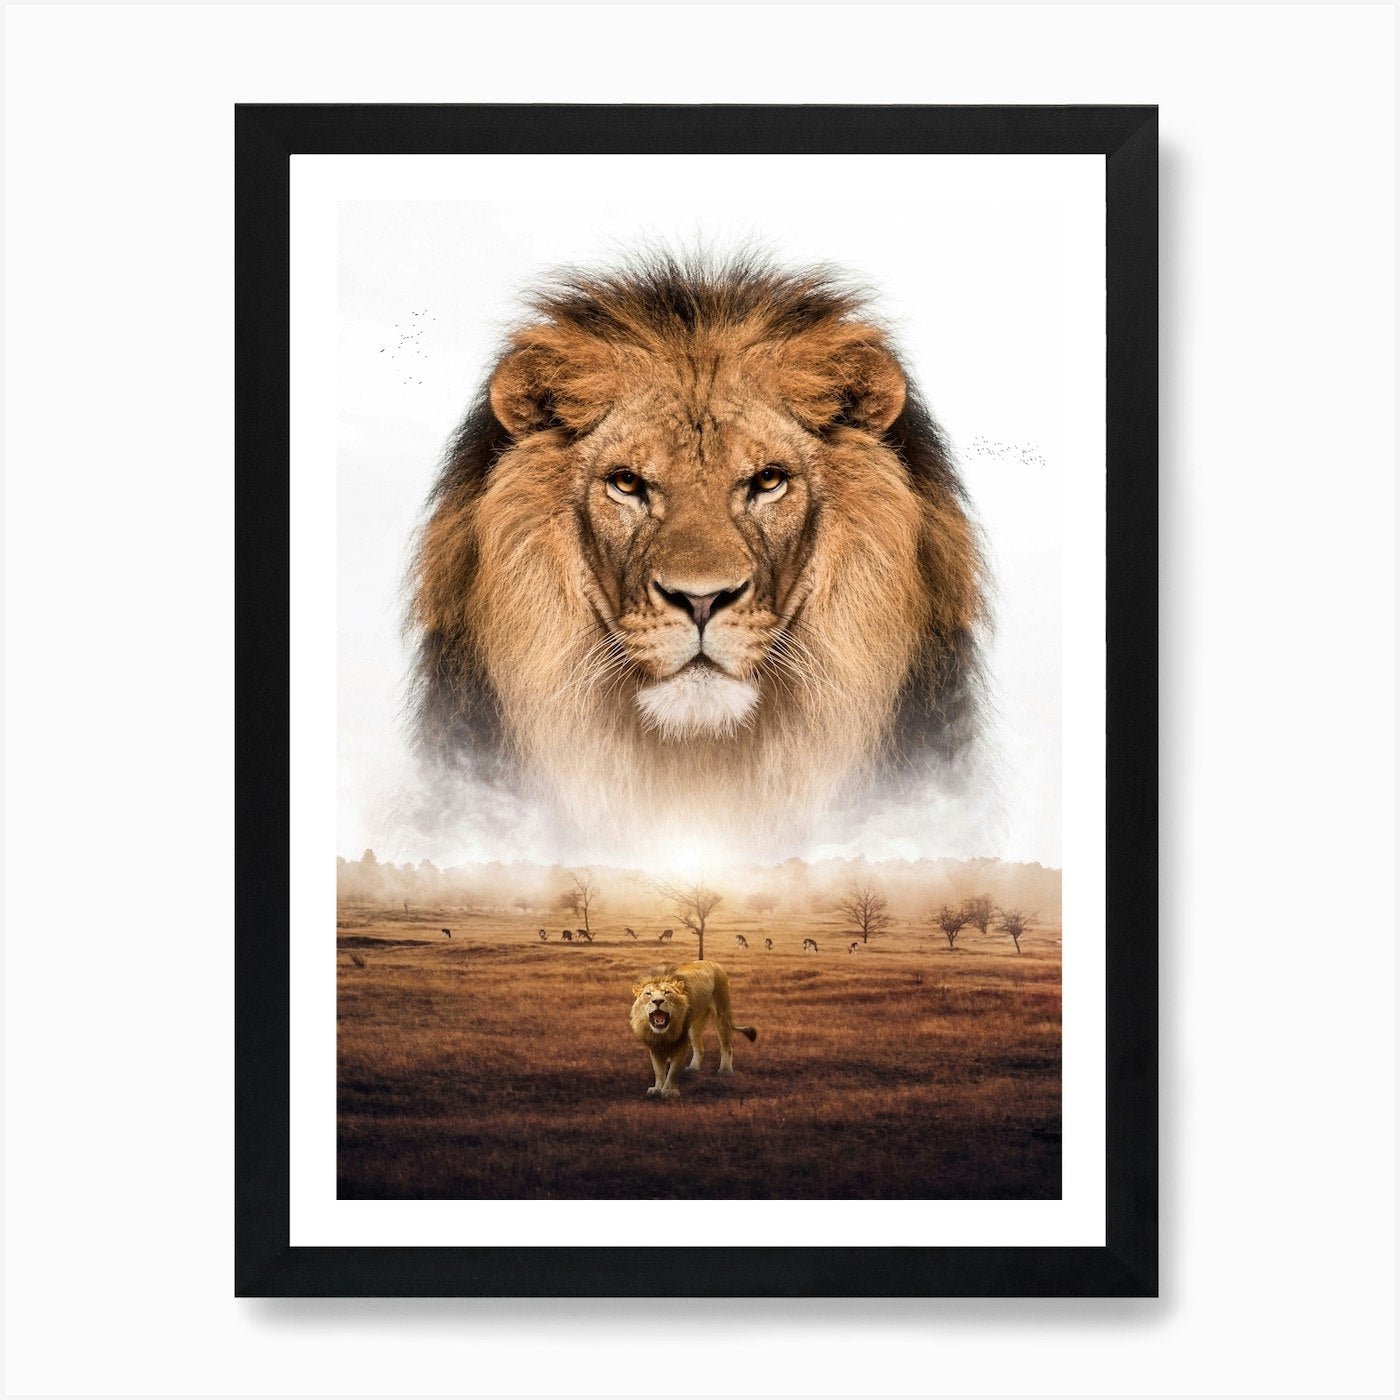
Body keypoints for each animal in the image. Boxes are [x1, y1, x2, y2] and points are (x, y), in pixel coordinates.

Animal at [629, 960, 756, 1099]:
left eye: (667, 992)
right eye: (648, 993)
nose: (657, 1001)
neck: (664, 1032)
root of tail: (713, 962)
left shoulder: (681, 1042)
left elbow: (674, 1070)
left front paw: (669, 1091)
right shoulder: (654, 1044)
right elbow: (658, 1069)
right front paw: (657, 1088)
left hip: (722, 1014)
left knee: (727, 1046)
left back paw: (725, 1071)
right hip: (695, 1025)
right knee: (699, 1048)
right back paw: (693, 1068)